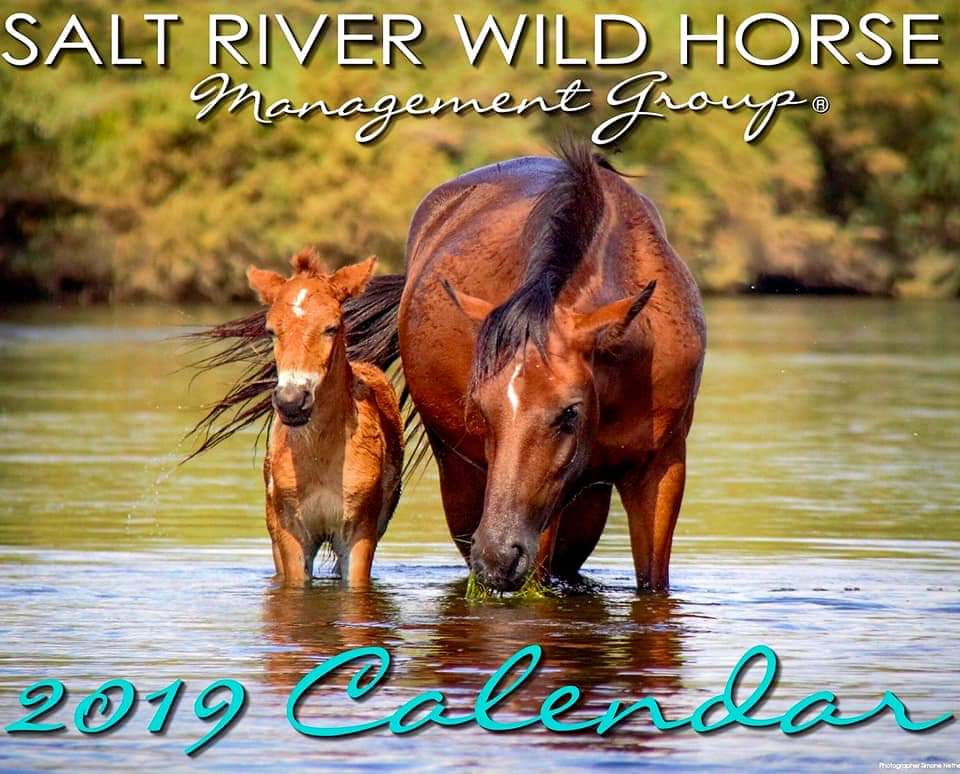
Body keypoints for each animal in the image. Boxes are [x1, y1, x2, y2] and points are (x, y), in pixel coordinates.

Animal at [244, 249, 403, 587]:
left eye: (331, 327)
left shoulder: (359, 531)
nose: (292, 402)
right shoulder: (291, 531)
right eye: (270, 330)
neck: (320, 458)